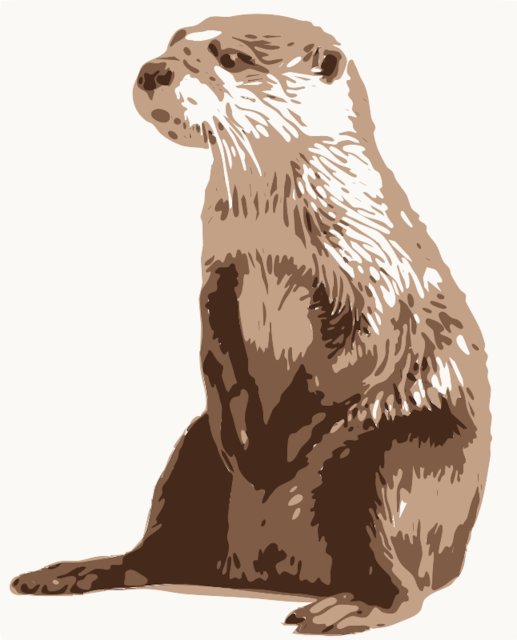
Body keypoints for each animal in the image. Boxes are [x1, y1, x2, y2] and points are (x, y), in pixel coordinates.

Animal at [11, 14, 490, 636]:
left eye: (232, 57)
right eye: (174, 39)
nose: (154, 70)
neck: (273, 236)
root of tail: (274, 571)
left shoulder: (374, 267)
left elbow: (359, 349)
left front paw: (277, 451)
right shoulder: (219, 268)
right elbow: (213, 336)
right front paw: (249, 444)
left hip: (403, 463)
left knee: (405, 573)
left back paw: (348, 607)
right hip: (192, 454)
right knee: (159, 548)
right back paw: (75, 571)